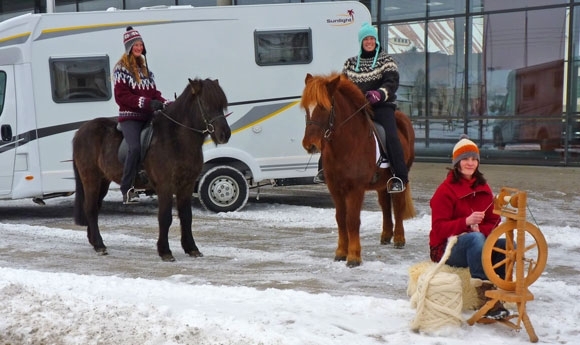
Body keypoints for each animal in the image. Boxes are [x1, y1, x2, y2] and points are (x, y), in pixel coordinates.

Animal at [74, 78, 231, 260]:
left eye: (222, 105)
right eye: (206, 104)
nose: (225, 134)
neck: (176, 139)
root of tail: (81, 131)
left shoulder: (186, 185)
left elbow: (186, 216)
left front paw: (191, 248)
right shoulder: (165, 186)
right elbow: (165, 218)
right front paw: (165, 251)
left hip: (103, 180)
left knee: (95, 208)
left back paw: (94, 242)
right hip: (91, 178)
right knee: (91, 209)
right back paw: (99, 245)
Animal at [302, 72, 414, 266]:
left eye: (323, 107)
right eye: (306, 109)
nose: (310, 145)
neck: (346, 144)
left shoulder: (356, 189)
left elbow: (352, 220)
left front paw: (354, 256)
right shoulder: (335, 188)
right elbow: (340, 219)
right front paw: (340, 252)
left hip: (400, 176)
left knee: (398, 204)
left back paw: (399, 238)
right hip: (382, 182)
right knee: (385, 204)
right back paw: (386, 235)